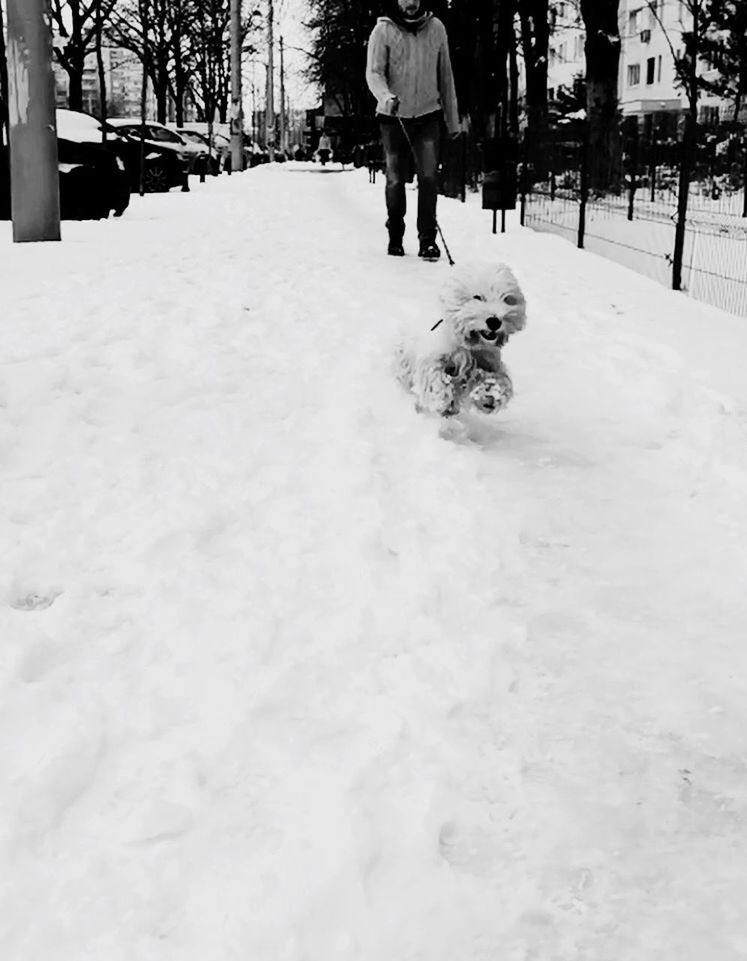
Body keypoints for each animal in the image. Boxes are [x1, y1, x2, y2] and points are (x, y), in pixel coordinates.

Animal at [398, 262, 524, 416]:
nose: (494, 321)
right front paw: (442, 399)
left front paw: (491, 396)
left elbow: (498, 378)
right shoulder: (435, 357)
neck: (468, 343)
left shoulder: (487, 361)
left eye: (506, 299)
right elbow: (436, 377)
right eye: (477, 297)